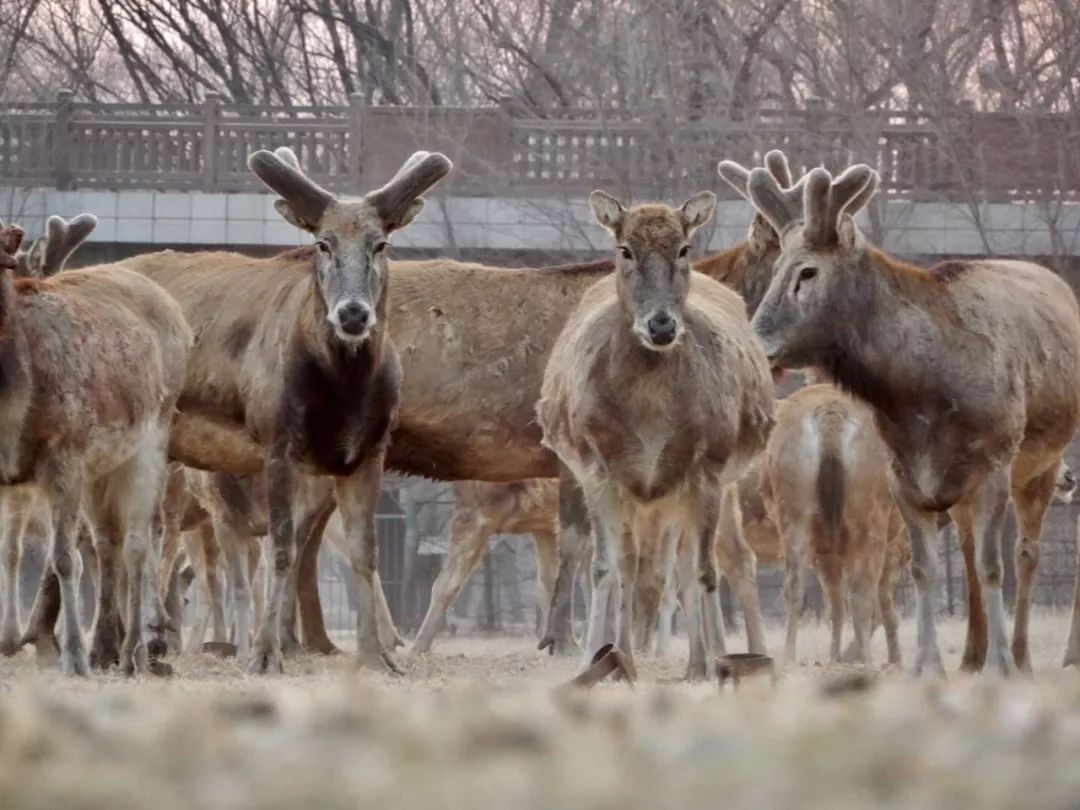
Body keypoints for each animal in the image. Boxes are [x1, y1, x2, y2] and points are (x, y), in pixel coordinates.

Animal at [0, 217, 190, 678]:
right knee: (108, 543)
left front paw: (73, 658)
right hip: (99, 471)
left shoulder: (63, 455)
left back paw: (137, 651)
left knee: (140, 543)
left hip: (152, 441)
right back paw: (110, 646)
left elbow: (63, 557)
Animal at [119, 149, 451, 673]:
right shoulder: (276, 442)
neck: (344, 396)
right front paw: (262, 654)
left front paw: (378, 657)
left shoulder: (369, 452)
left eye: (380, 244)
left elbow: (364, 552)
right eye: (322, 243)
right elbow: (281, 549)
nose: (352, 313)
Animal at [535, 190, 773, 678]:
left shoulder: (707, 465)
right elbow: (605, 568)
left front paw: (718, 662)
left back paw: (699, 661)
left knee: (689, 566)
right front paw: (590, 660)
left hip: (690, 489)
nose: (661, 325)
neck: (649, 414)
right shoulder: (597, 466)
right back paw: (623, 655)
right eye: (625, 249)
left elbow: (703, 570)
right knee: (631, 565)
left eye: (684, 248)